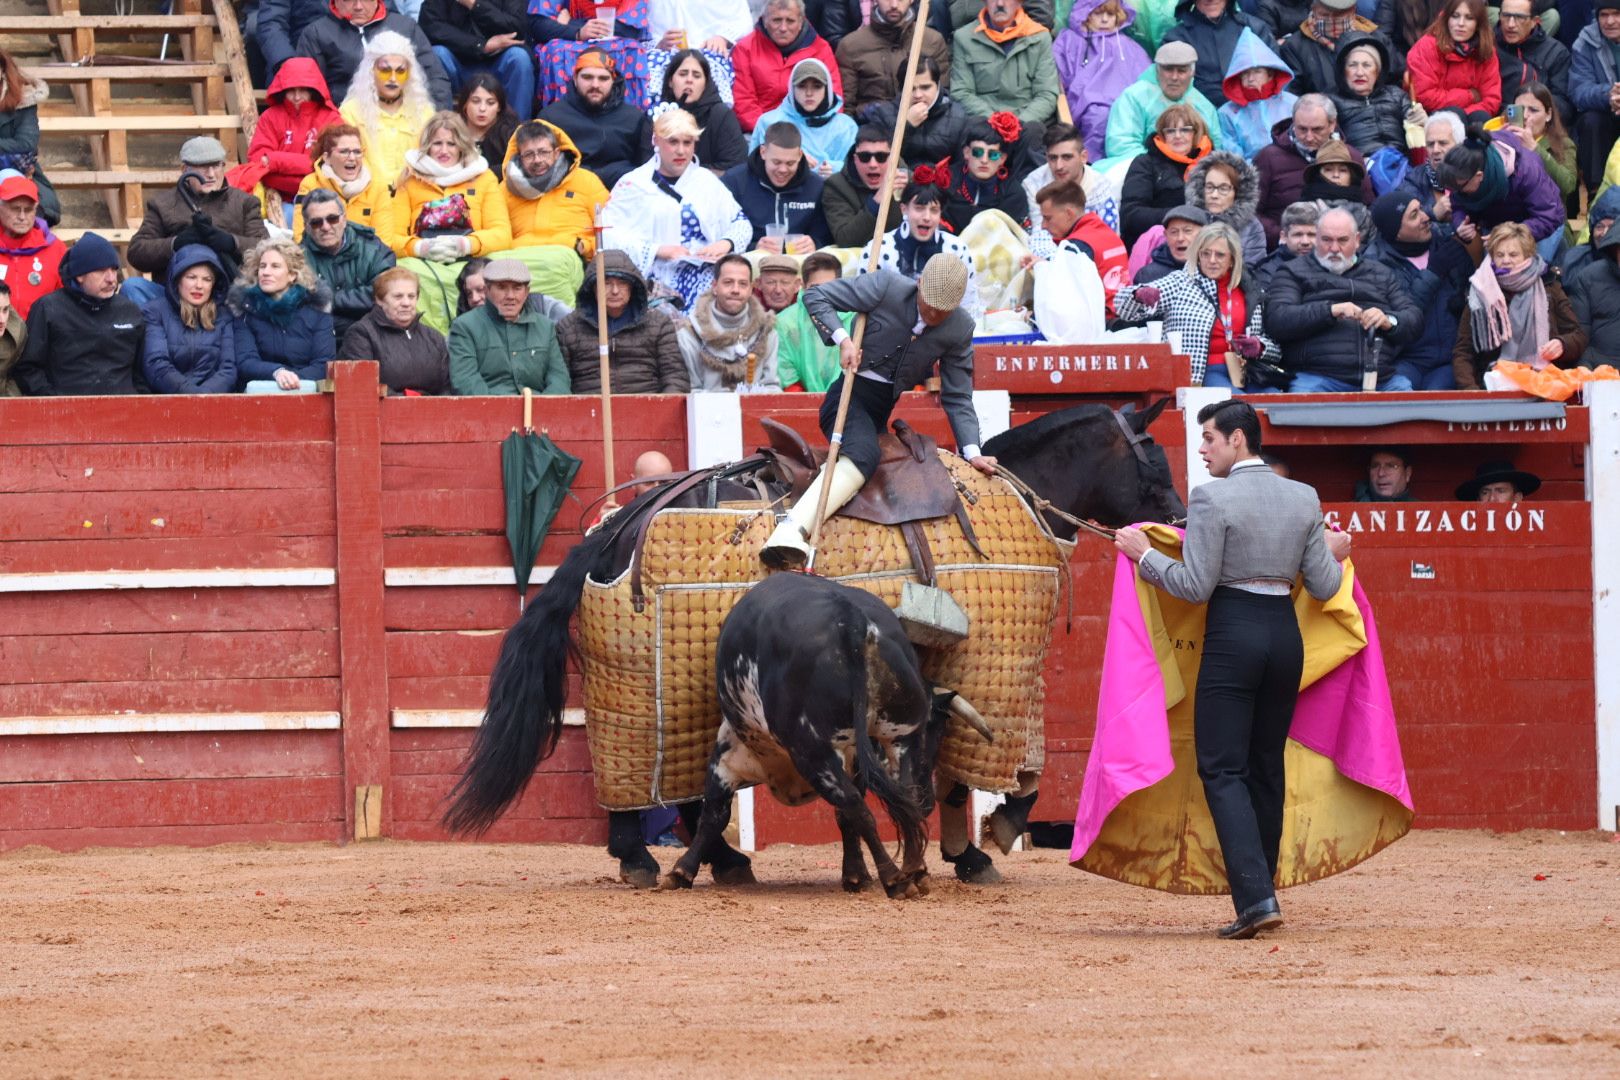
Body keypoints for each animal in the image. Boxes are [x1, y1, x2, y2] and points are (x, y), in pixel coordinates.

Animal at [437, 399, 1185, 887]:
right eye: (1155, 456)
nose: (1180, 517)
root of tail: (622, 523)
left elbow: (945, 766)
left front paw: (953, 851)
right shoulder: (994, 669)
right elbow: (998, 770)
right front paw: (984, 844)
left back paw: (701, 861)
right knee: (660, 783)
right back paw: (658, 860)